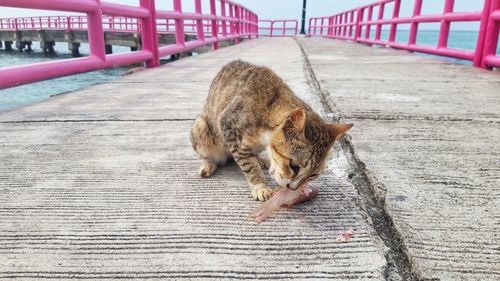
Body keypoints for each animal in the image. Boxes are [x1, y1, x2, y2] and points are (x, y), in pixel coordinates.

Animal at [190, 59, 352, 200]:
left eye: (313, 175)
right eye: (294, 166)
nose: (293, 188)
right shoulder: (229, 127)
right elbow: (248, 165)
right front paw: (260, 186)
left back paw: (260, 159)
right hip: (201, 128)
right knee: (207, 153)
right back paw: (208, 164)